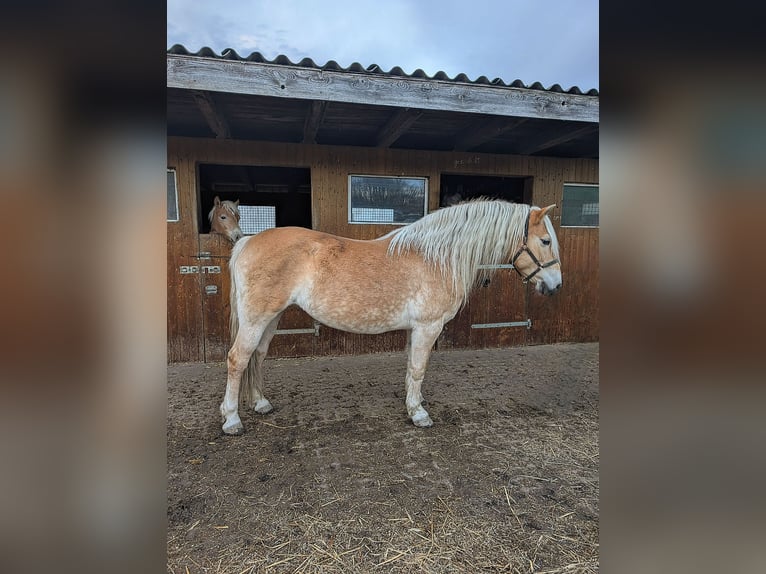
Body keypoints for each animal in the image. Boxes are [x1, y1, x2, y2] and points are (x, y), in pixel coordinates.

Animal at [219, 200, 560, 434]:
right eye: (545, 241)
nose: (555, 286)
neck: (436, 258)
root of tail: (247, 242)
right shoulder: (428, 327)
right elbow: (419, 369)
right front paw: (419, 414)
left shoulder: (415, 329)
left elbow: (411, 367)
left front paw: (412, 404)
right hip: (256, 319)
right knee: (238, 359)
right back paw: (232, 419)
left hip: (271, 318)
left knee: (257, 357)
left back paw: (260, 403)